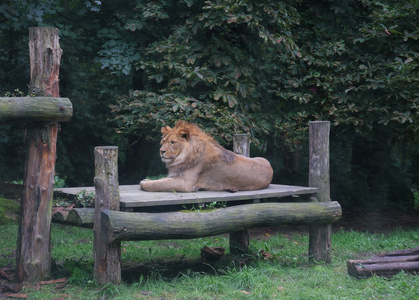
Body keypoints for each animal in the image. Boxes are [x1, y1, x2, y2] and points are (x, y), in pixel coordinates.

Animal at [139, 121, 274, 193]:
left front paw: (144, 183)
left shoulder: (185, 183)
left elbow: (158, 184)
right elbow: (161, 180)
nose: (161, 151)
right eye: (163, 141)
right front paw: (148, 179)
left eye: (172, 142)